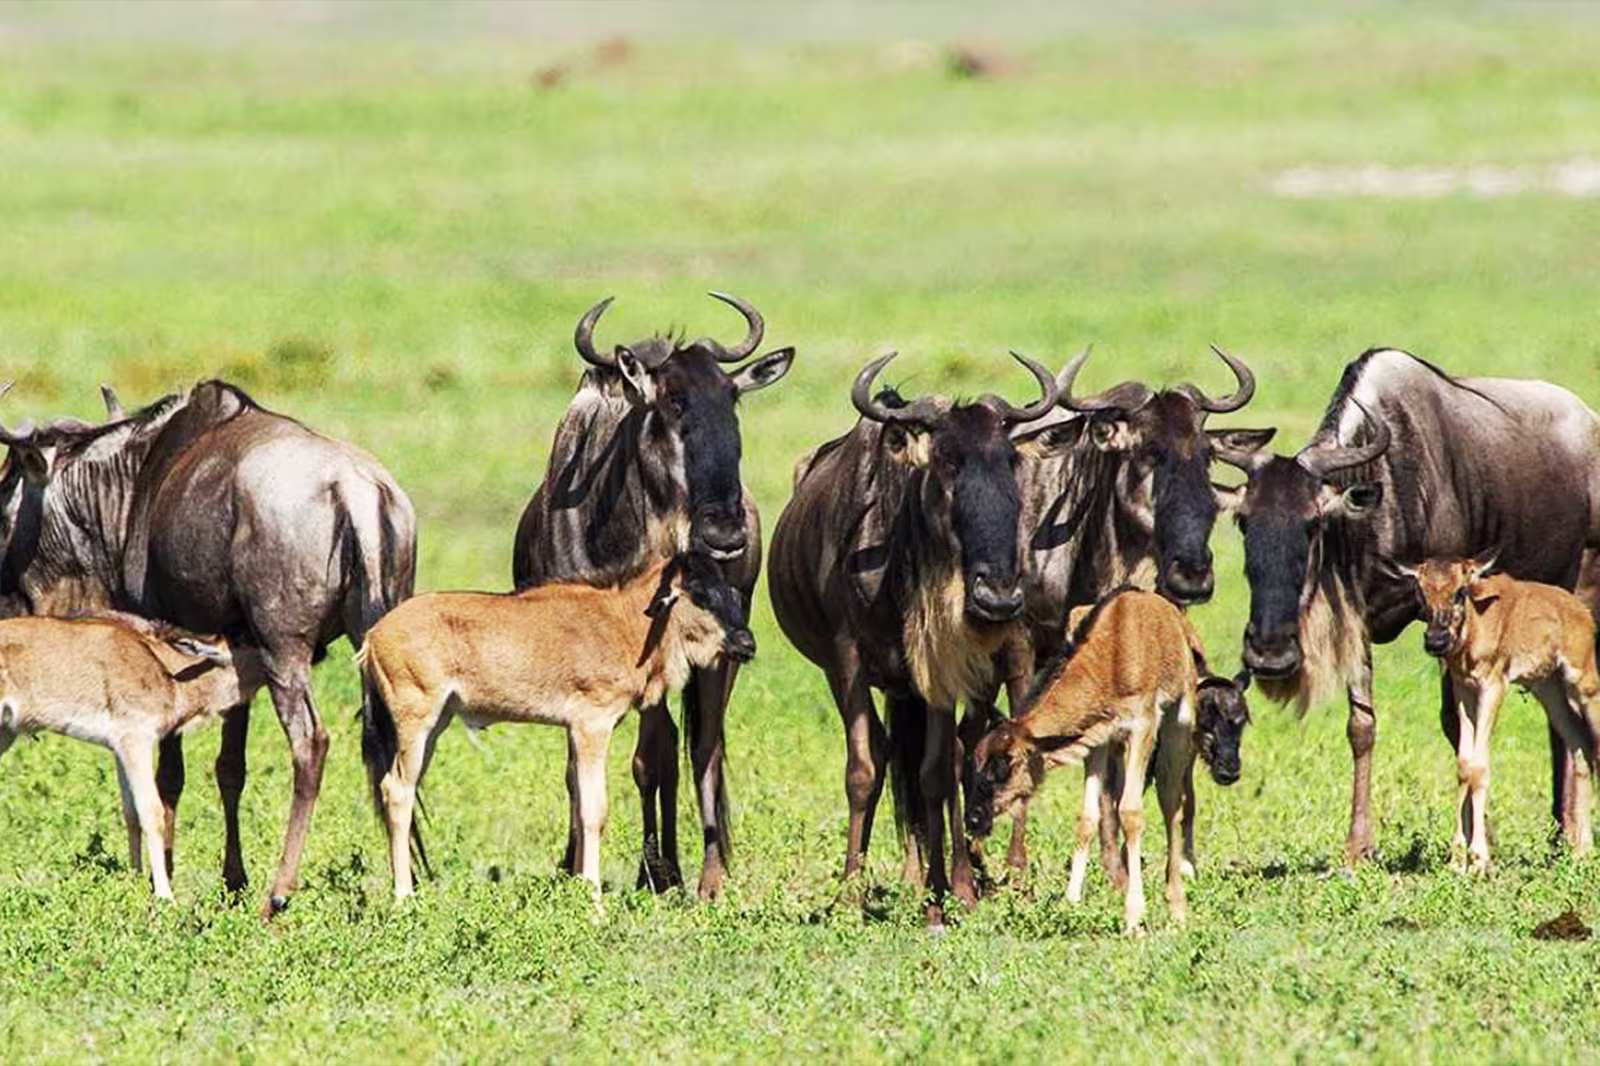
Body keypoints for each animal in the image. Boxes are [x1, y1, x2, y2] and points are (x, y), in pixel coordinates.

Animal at [0, 613, 261, 900]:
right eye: (246, 639)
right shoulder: (137, 739)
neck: (167, 671)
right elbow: (152, 812)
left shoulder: (120, 747)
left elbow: (131, 813)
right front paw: (164, 895)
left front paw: (135, 882)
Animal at [357, 553, 755, 898]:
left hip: (436, 724)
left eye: (729, 589)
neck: (628, 622)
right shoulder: (593, 725)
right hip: (415, 721)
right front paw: (594, 903)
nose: (746, 643)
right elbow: (594, 810)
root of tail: (373, 636)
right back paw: (404, 897)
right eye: (699, 593)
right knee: (398, 790)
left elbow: (578, 805)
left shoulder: (575, 730)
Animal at [965, 588, 1202, 933]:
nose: (972, 818)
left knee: (1171, 801)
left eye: (1006, 764)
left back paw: (1178, 903)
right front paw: (1070, 902)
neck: (1109, 659)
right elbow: (1088, 817)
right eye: (978, 759)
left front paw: (1134, 917)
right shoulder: (1096, 739)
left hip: (1179, 719)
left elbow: (1130, 811)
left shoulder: (1142, 726)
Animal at [1400, 555, 1600, 872]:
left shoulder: (1493, 686)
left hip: (1583, 682)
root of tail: (1582, 612)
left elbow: (1480, 767)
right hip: (1549, 689)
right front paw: (1457, 861)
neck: (1478, 624)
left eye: (1460, 591)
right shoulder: (1464, 690)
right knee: (1580, 744)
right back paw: (1582, 851)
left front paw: (1479, 860)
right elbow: (1464, 765)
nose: (1435, 641)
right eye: (1420, 591)